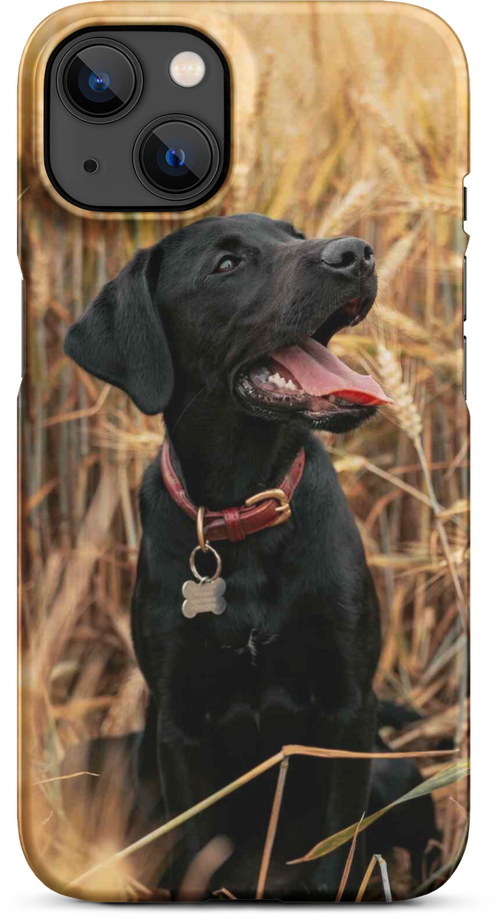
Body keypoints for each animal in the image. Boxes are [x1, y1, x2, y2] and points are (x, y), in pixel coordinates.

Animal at [65, 211, 394, 900]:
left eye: (293, 235)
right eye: (226, 265)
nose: (357, 254)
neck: (245, 510)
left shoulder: (351, 707)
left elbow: (335, 849)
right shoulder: (179, 726)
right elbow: (196, 849)